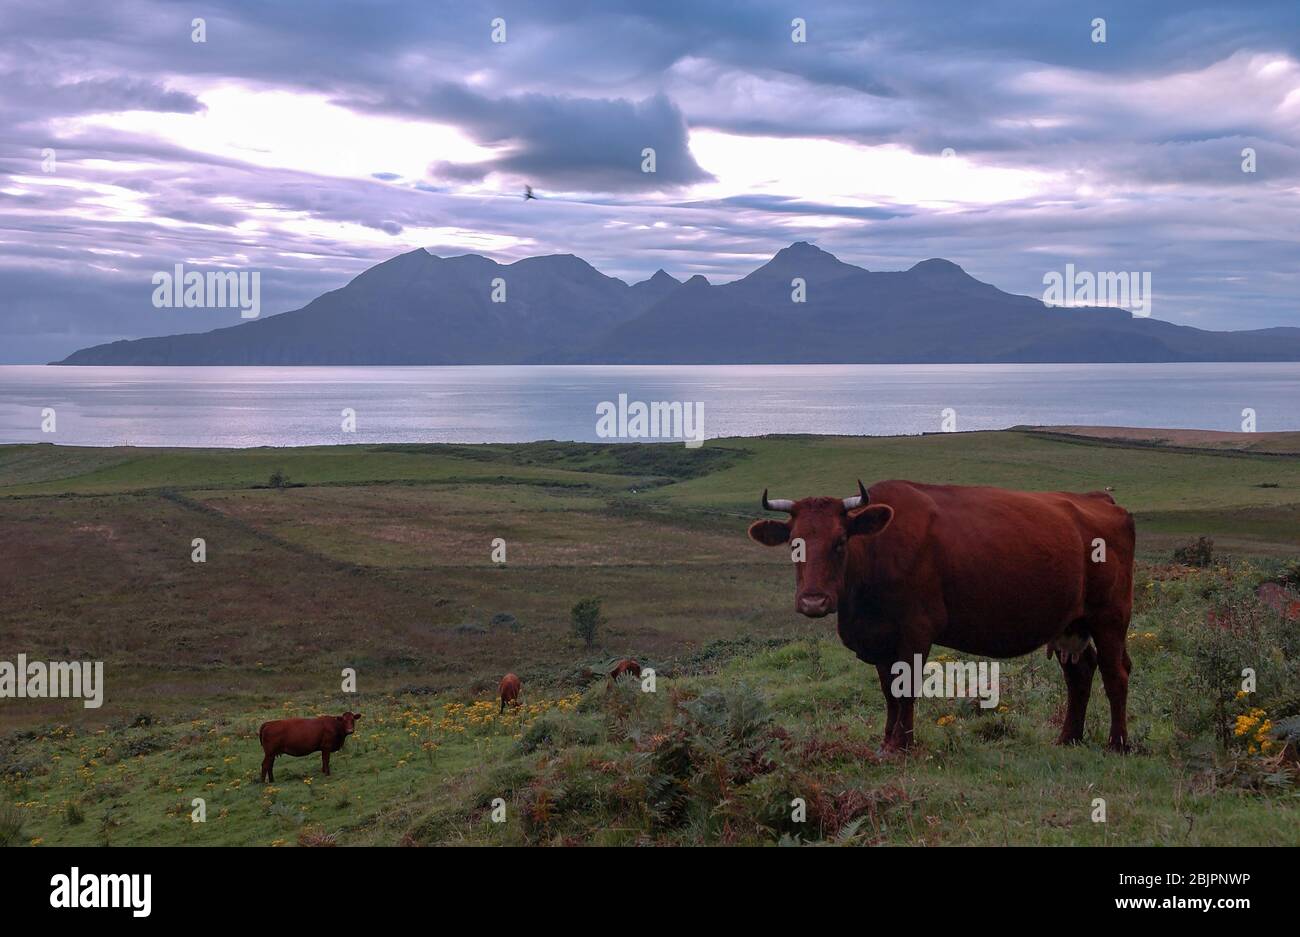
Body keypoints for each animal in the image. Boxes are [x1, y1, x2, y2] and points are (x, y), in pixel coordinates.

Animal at [748, 483, 1133, 753]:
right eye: (794, 544)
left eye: (840, 541)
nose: (813, 601)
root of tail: (1100, 499)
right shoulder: (881, 638)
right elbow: (889, 690)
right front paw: (887, 741)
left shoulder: (915, 631)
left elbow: (905, 688)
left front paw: (902, 745)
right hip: (1071, 624)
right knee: (1079, 674)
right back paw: (1069, 738)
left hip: (1110, 619)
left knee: (1115, 674)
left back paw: (1118, 744)